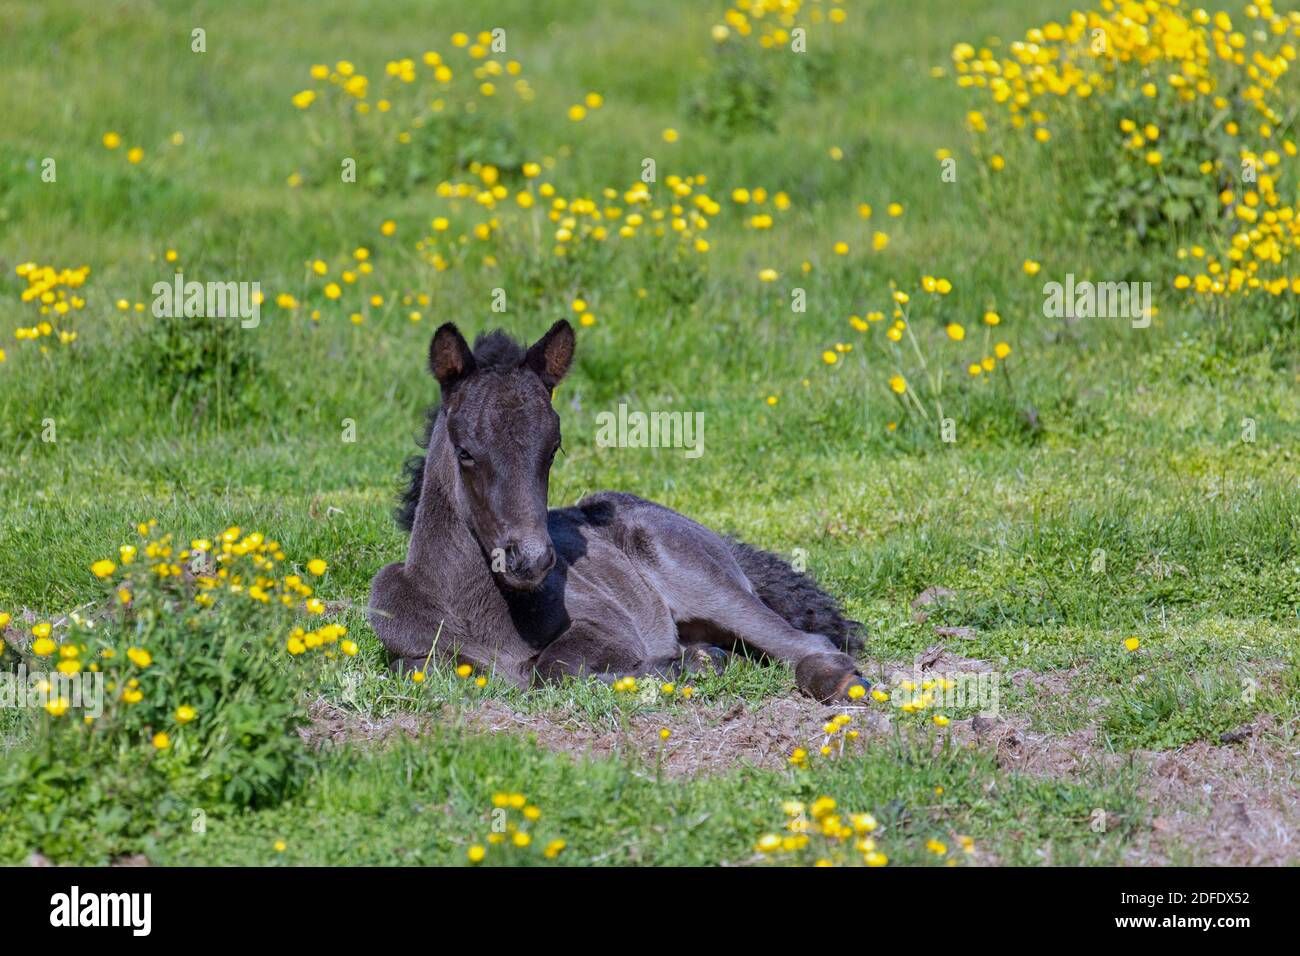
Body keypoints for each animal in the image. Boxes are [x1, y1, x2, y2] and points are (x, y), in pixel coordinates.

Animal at [368, 320, 869, 702]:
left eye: (553, 449)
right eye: (466, 453)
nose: (530, 560)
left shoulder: (608, 623)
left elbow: (553, 668)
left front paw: (673, 668)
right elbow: (416, 666)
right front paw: (691, 663)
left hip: (704, 584)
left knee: (805, 643)